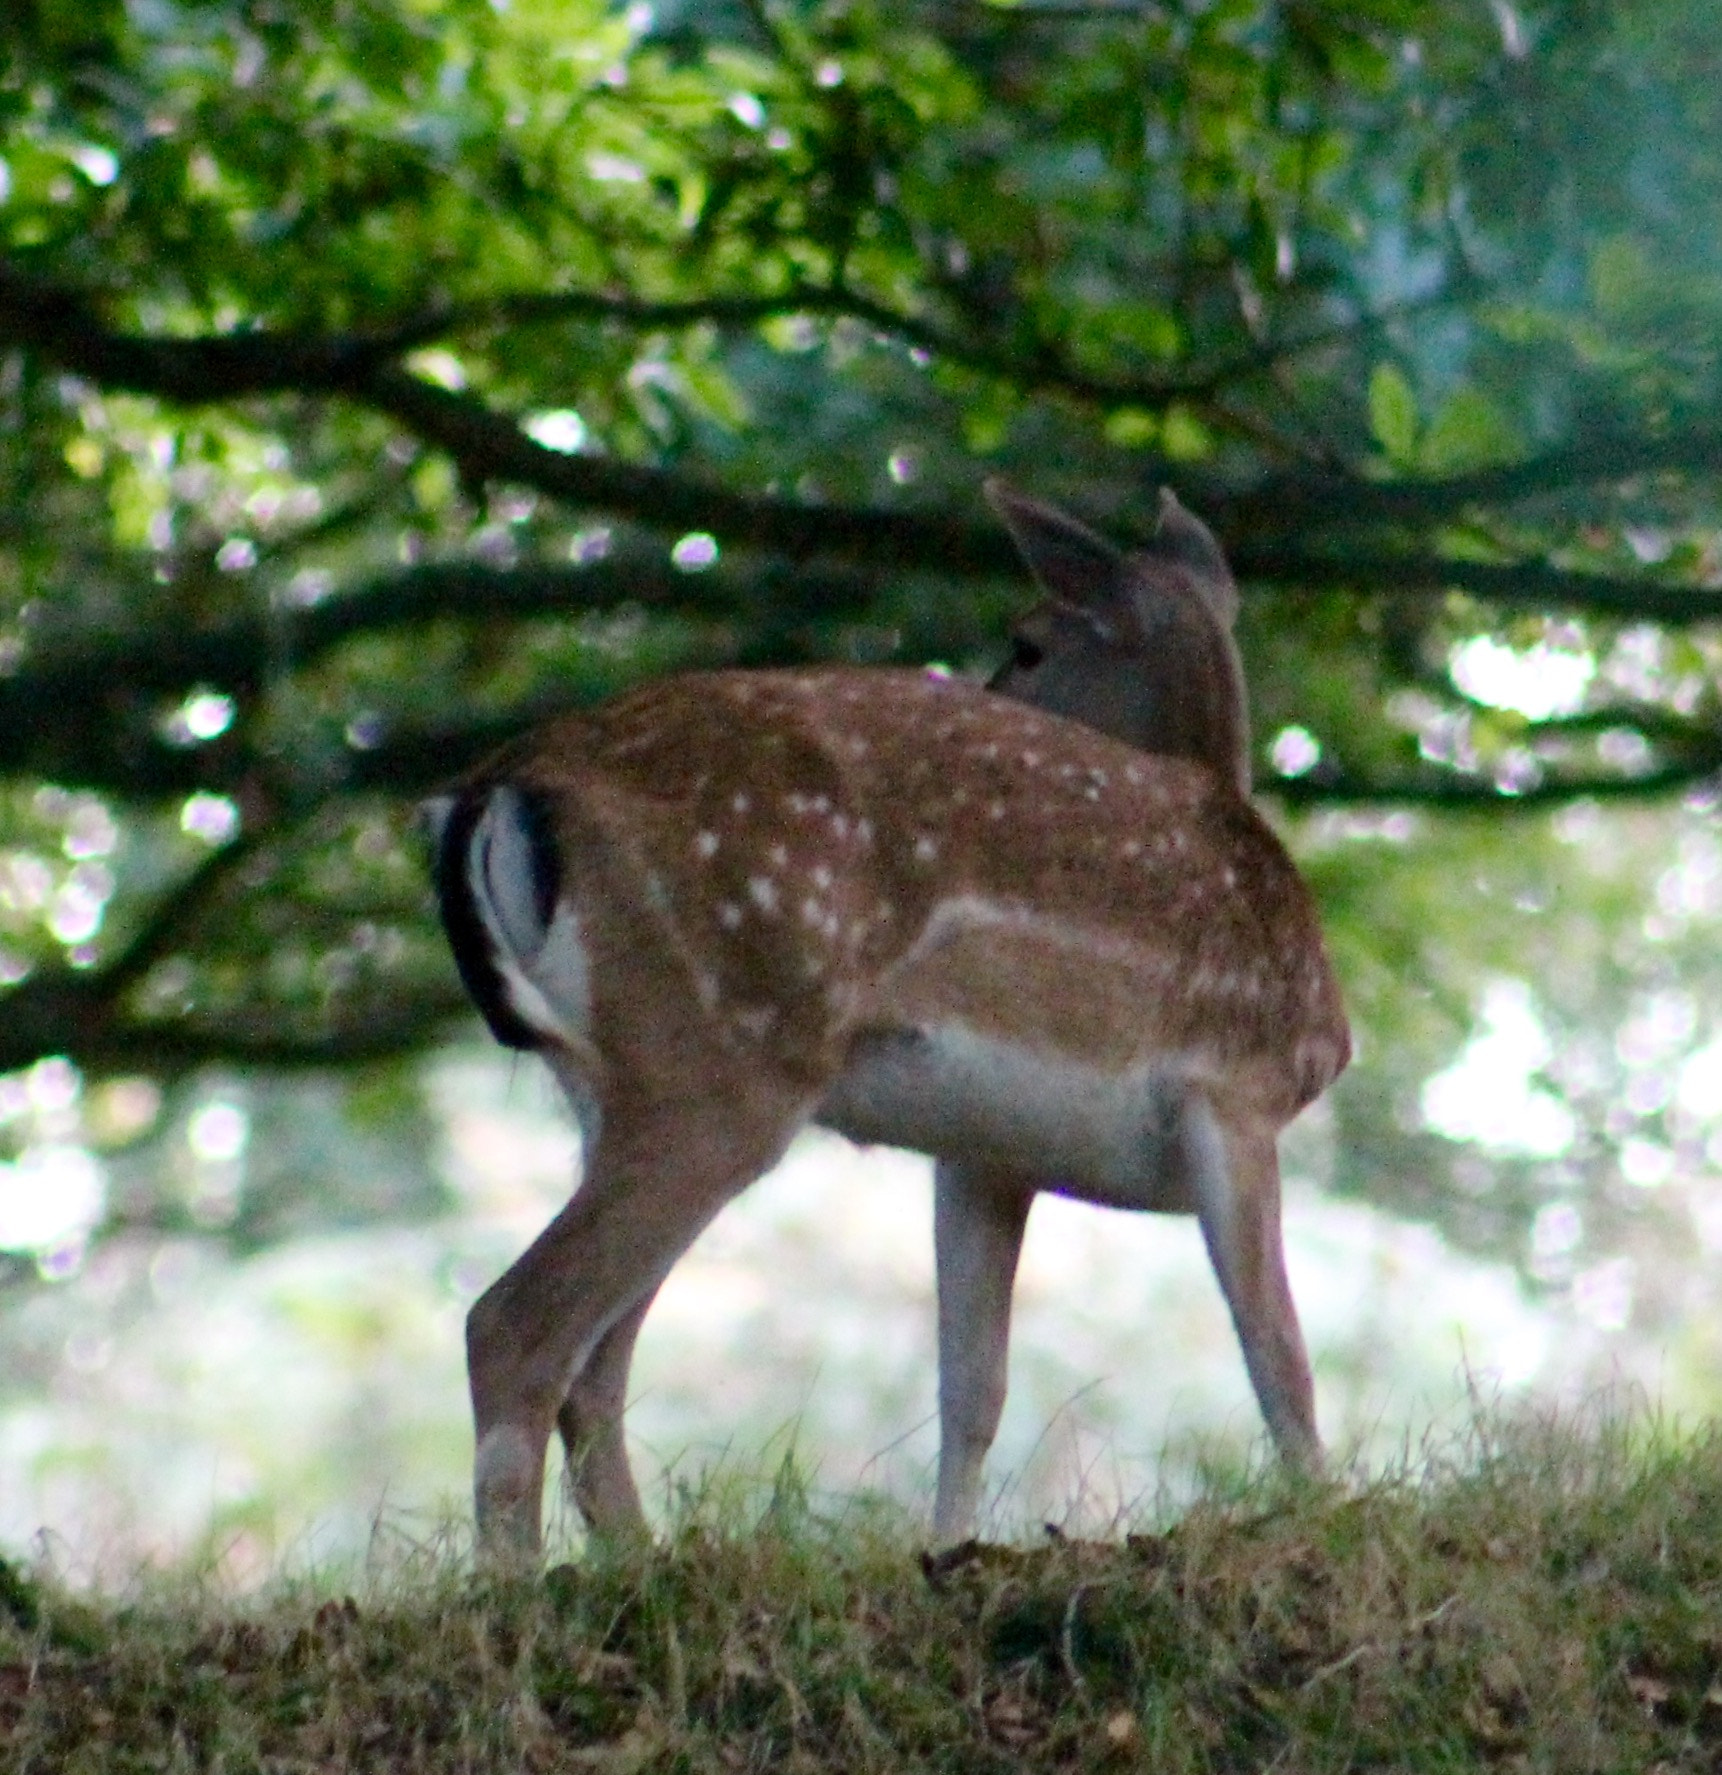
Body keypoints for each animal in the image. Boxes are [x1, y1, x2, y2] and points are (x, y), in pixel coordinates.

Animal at [426, 480, 1350, 1558]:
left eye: (1027, 644)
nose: (995, 691)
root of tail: (500, 786)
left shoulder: (985, 1150)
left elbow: (974, 1385)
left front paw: (947, 1549)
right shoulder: (1235, 1089)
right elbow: (1279, 1353)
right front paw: (1332, 1511)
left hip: (614, 1079)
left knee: (594, 1361)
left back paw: (636, 1563)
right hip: (722, 1062)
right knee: (515, 1323)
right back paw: (524, 1580)